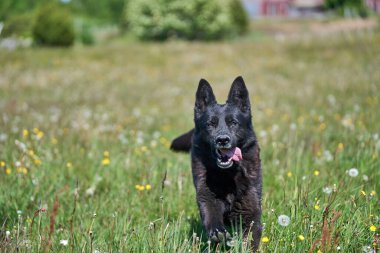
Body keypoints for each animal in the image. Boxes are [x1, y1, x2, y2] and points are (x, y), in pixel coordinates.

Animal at [171, 76, 262, 251]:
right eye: (210, 124)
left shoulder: (251, 213)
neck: (228, 175)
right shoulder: (208, 198)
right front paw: (218, 234)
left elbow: (249, 240)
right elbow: (212, 219)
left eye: (233, 122)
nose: (222, 140)